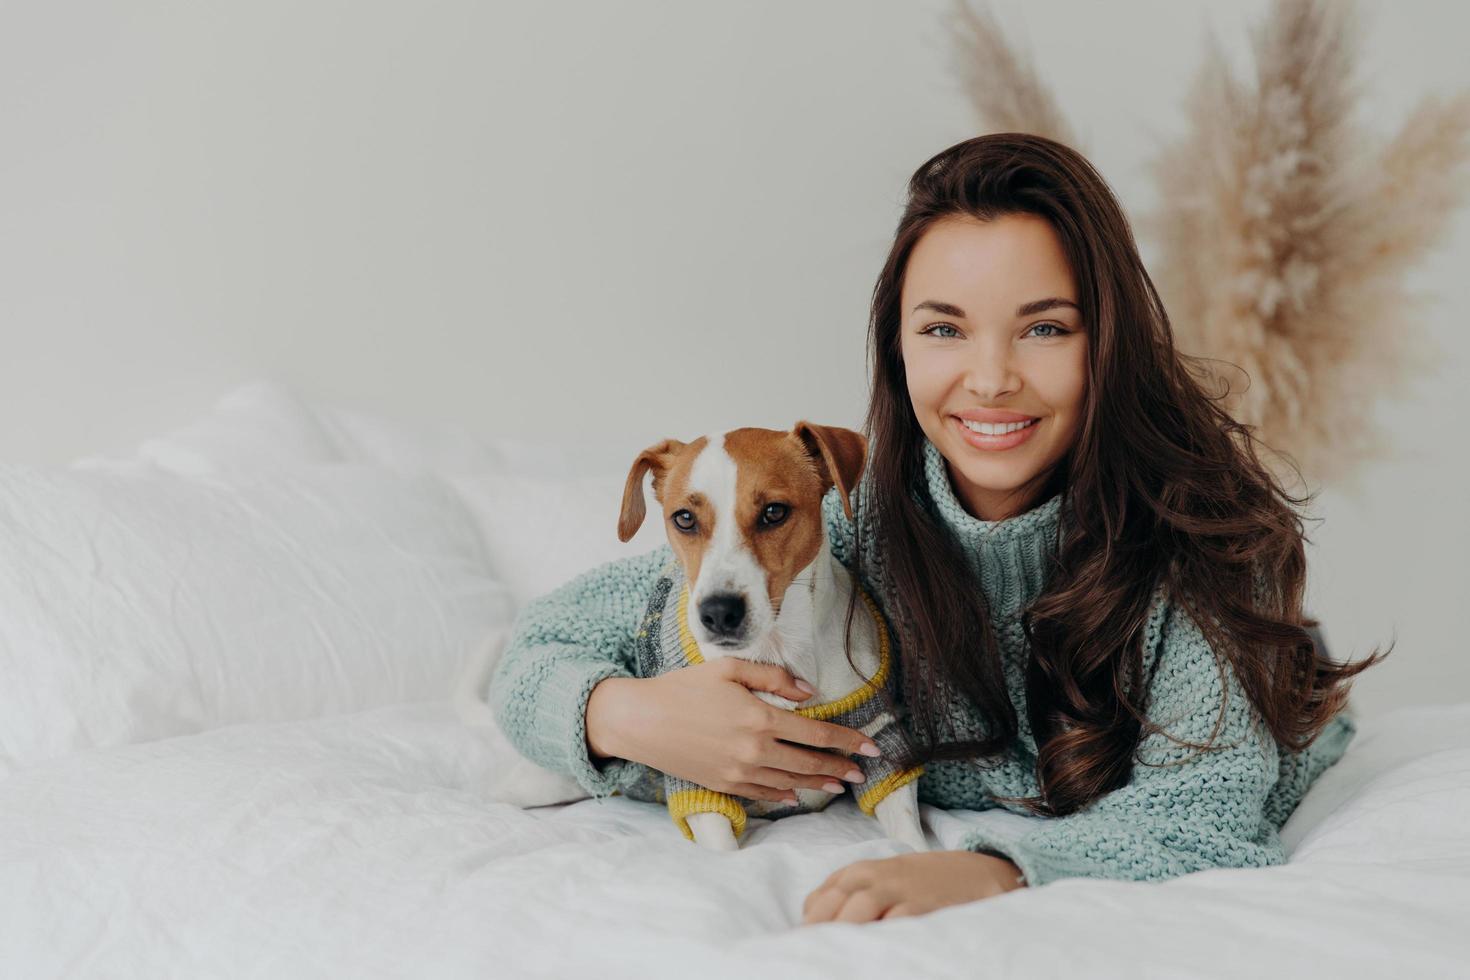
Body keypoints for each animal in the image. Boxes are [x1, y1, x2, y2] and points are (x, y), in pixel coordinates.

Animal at [614, 423, 923, 852]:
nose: (718, 612)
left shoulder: (878, 739)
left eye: (774, 512)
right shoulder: (698, 775)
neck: (779, 650)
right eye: (684, 518)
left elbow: (911, 840)